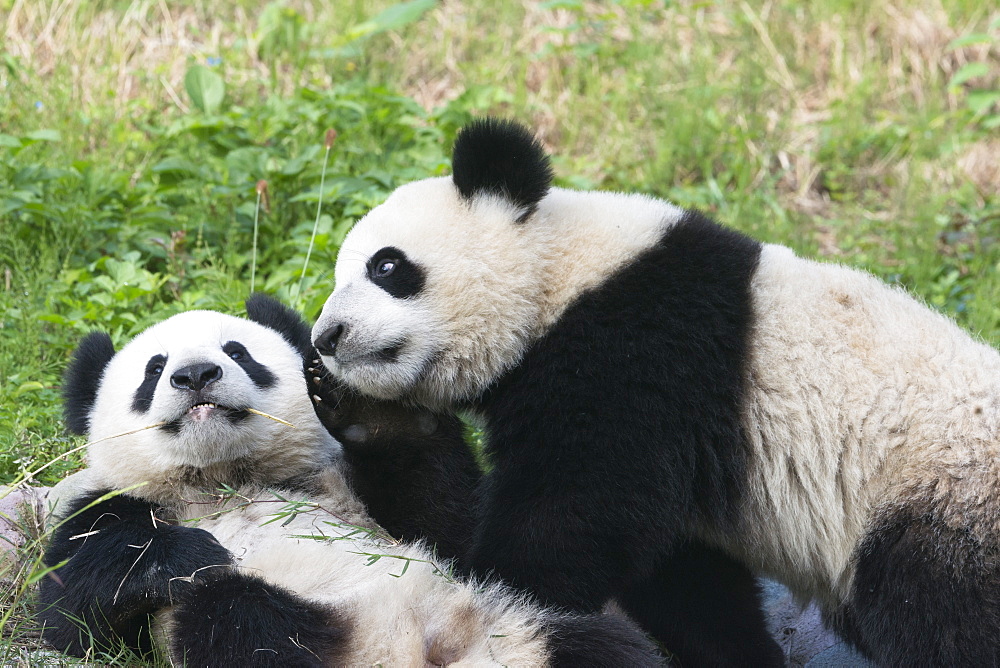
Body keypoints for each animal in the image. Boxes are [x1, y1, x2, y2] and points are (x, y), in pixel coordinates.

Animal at [43, 294, 660, 668]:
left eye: (237, 351)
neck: (230, 478)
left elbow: (450, 521)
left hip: (514, 631)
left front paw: (373, 412)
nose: (196, 375)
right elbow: (74, 613)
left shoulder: (349, 486)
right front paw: (191, 553)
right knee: (239, 618)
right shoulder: (113, 506)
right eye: (154, 369)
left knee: (601, 648)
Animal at [312, 117, 1000, 664]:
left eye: (387, 266)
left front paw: (503, 595)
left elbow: (571, 513)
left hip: (936, 510)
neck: (556, 277)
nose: (325, 337)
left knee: (942, 623)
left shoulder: (638, 353)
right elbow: (683, 580)